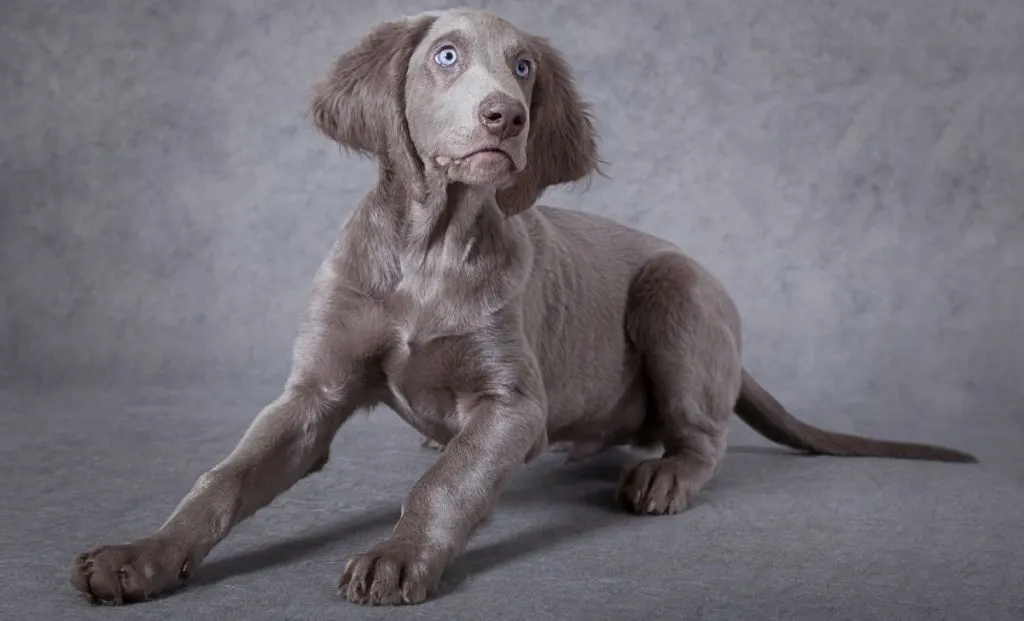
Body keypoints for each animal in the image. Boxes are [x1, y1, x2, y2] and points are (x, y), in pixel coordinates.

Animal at [72, 7, 974, 610]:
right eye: (445, 56)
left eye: (525, 68)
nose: (505, 116)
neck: (430, 251)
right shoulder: (312, 394)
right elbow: (222, 477)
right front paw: (140, 556)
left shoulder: (513, 404)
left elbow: (447, 483)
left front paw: (399, 555)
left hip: (675, 290)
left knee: (704, 435)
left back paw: (663, 473)